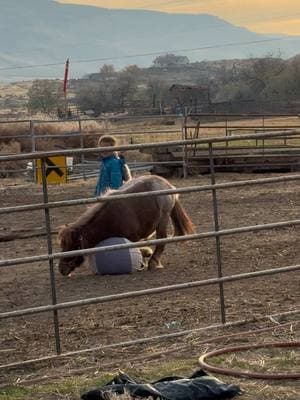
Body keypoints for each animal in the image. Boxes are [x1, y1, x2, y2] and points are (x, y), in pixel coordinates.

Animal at [58, 175, 195, 276]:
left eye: (74, 246)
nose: (61, 269)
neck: (110, 218)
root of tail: (167, 184)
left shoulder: (132, 238)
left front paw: (146, 254)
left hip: (163, 219)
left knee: (161, 240)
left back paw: (153, 262)